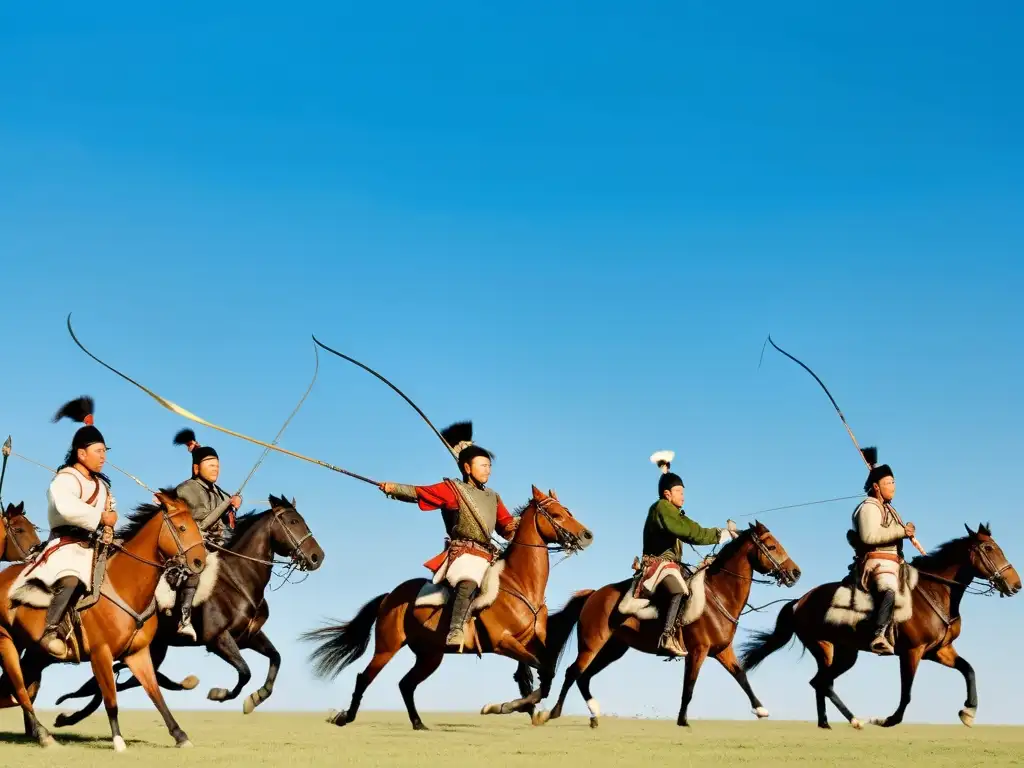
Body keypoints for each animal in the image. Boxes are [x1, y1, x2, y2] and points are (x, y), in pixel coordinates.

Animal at [0, 493, 207, 753]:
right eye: (182, 528)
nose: (200, 561)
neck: (125, 584)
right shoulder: (101, 654)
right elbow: (110, 698)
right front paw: (118, 740)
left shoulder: (137, 654)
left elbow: (155, 694)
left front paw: (180, 735)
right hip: (7, 642)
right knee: (20, 691)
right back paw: (44, 735)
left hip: (33, 653)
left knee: (18, 691)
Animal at [49, 493, 323, 729]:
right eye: (293, 521)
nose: (317, 557)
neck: (238, 579)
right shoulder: (218, 640)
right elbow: (245, 672)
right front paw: (219, 694)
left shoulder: (247, 637)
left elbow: (275, 658)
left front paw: (255, 698)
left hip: (154, 649)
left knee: (123, 682)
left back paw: (68, 717)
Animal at [299, 489, 593, 729]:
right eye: (556, 514)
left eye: (568, 510)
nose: (586, 535)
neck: (519, 583)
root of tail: (389, 597)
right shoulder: (503, 642)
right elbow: (542, 673)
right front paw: (501, 707)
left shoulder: (530, 642)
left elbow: (538, 674)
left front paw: (525, 709)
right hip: (387, 647)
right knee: (365, 677)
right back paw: (344, 718)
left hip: (430, 656)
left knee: (406, 684)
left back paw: (418, 724)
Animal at [532, 524, 802, 729]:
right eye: (771, 546)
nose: (795, 572)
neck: (718, 595)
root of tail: (593, 595)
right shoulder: (697, 652)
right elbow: (689, 686)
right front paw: (682, 720)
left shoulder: (722, 651)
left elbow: (741, 676)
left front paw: (761, 709)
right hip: (592, 644)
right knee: (573, 672)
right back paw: (551, 713)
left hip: (613, 649)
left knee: (584, 676)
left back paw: (594, 715)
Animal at [741, 528, 1019, 729]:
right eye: (989, 548)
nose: (1016, 584)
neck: (935, 591)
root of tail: (799, 601)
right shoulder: (912, 652)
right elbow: (906, 692)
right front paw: (887, 720)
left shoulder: (939, 651)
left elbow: (969, 670)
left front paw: (968, 712)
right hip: (829, 649)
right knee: (822, 682)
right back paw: (853, 720)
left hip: (841, 653)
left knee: (820, 682)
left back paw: (827, 724)